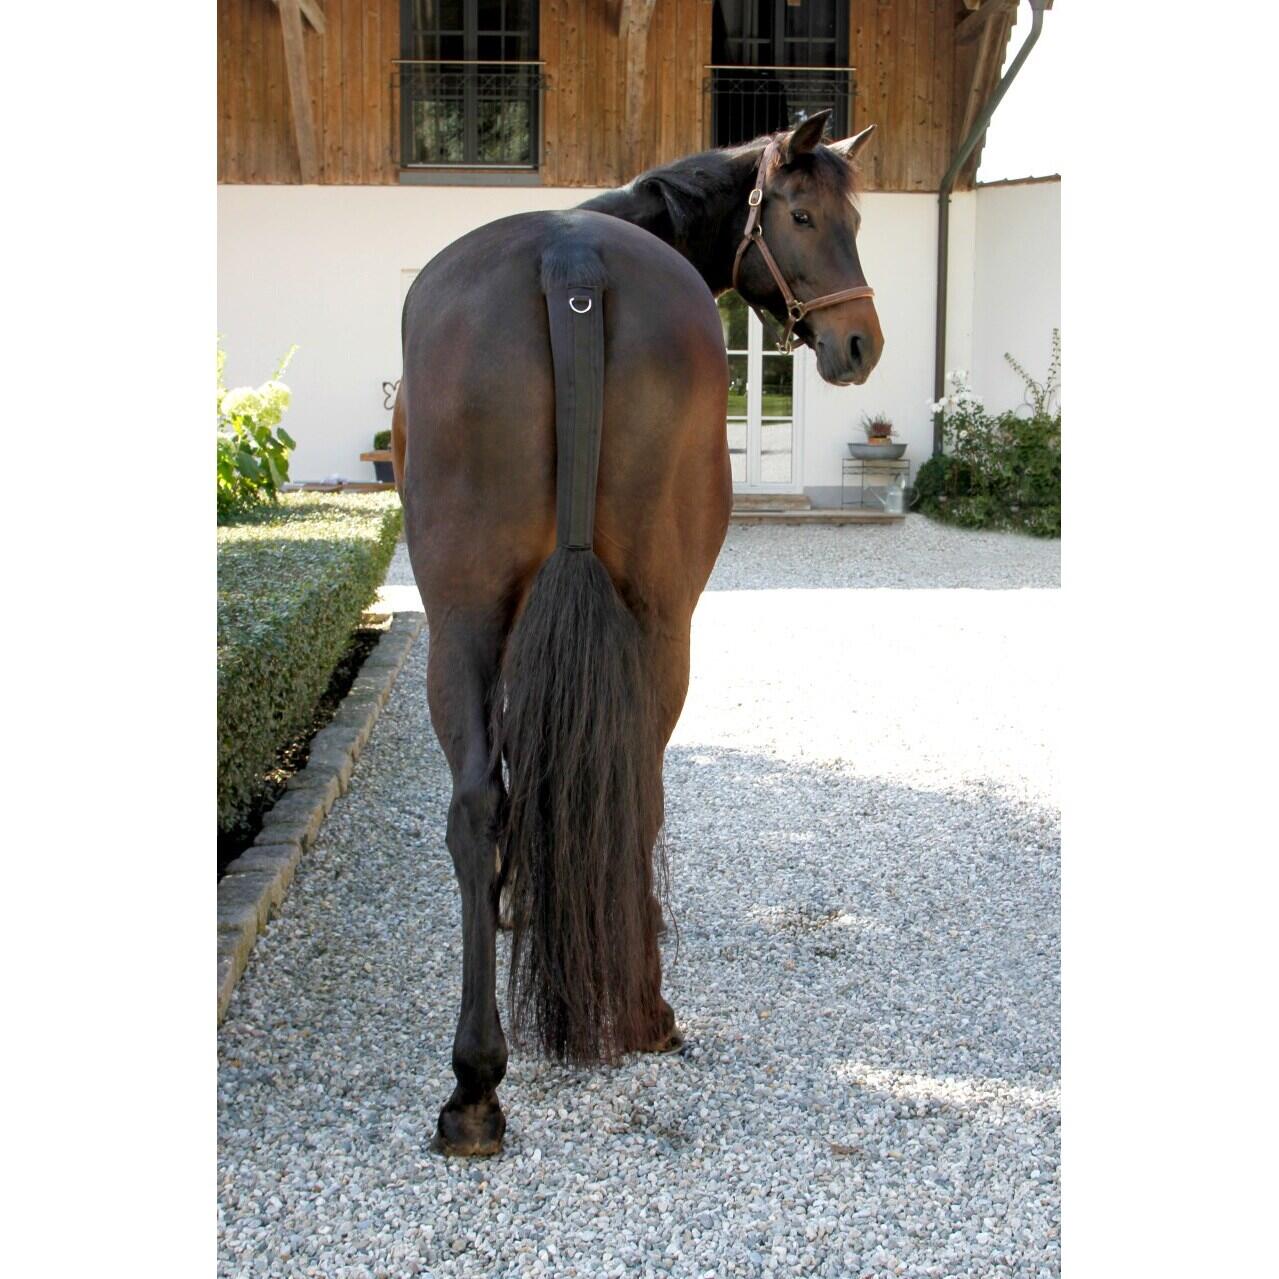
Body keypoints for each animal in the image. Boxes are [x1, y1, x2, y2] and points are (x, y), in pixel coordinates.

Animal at [394, 109, 883, 1156]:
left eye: (857, 218)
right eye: (804, 214)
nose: (858, 341)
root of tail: (570, 261)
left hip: (479, 616)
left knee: (512, 799)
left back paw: (498, 1073)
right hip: (622, 617)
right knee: (585, 794)